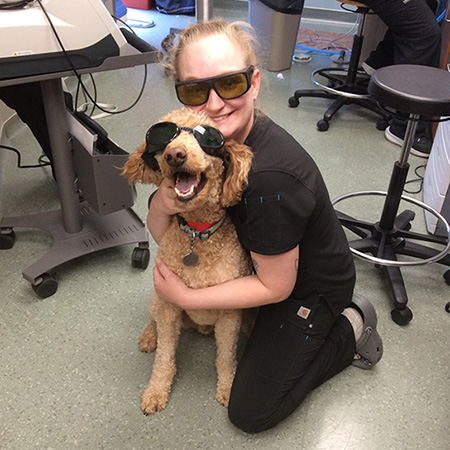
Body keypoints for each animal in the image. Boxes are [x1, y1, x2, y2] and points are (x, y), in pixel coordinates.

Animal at [123, 107, 255, 414]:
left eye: (204, 135)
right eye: (165, 141)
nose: (175, 155)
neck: (198, 232)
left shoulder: (230, 314)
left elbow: (225, 358)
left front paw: (228, 387)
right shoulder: (170, 305)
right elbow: (164, 358)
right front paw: (156, 392)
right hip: (158, 298)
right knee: (153, 319)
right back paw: (149, 336)